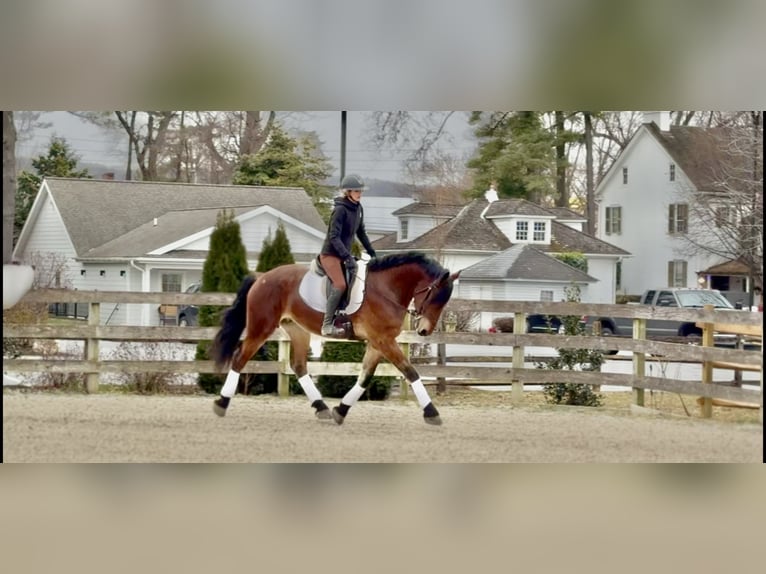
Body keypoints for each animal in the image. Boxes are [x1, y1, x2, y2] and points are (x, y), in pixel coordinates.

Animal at [210, 251, 460, 425]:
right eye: (435, 297)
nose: (425, 331)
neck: (386, 289)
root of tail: (262, 276)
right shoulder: (383, 341)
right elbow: (410, 372)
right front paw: (432, 413)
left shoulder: (378, 343)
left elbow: (365, 378)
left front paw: (341, 410)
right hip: (261, 327)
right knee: (240, 358)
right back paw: (222, 403)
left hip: (297, 330)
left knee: (298, 366)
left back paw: (321, 408)